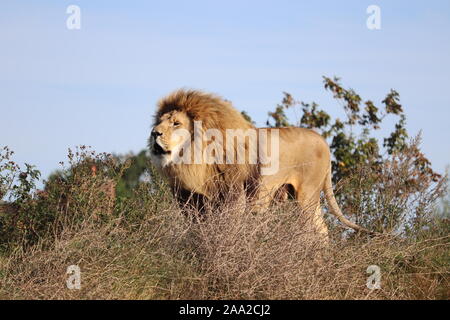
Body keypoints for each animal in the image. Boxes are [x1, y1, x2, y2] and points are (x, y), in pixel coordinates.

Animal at [149, 89, 368, 236]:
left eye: (176, 123)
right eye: (159, 121)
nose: (154, 133)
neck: (192, 159)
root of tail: (322, 140)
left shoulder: (234, 196)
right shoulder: (190, 201)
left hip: (306, 195)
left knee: (312, 230)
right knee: (322, 230)